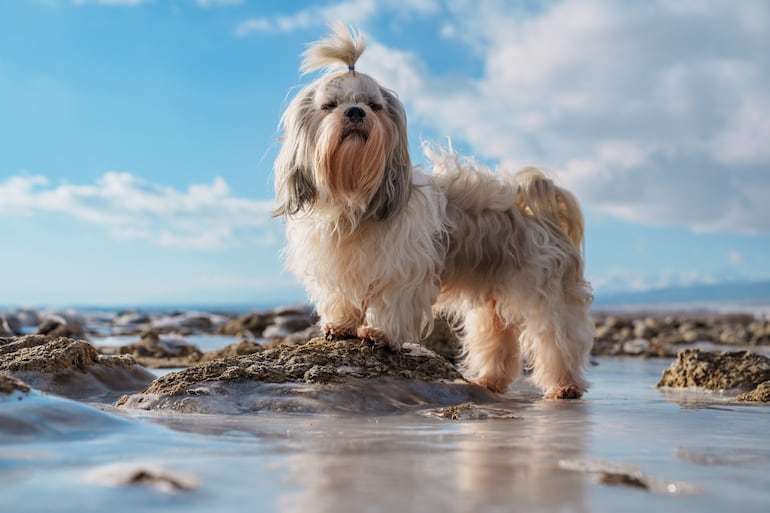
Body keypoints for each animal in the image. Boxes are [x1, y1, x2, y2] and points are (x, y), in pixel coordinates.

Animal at [272, 25, 592, 400]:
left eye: (373, 105)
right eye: (329, 106)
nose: (355, 112)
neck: (355, 197)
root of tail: (539, 211)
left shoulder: (402, 267)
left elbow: (393, 301)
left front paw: (380, 333)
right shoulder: (339, 263)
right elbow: (341, 297)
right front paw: (341, 325)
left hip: (544, 290)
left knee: (558, 337)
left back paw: (565, 386)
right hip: (493, 298)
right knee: (496, 338)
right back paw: (490, 380)